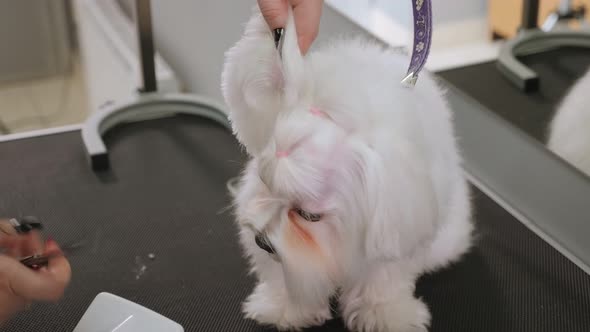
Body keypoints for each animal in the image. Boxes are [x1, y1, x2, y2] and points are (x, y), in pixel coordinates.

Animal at [222, 7, 476, 332]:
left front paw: (385, 314)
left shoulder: (393, 231)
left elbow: (383, 279)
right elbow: (287, 275)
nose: (261, 242)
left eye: (308, 215)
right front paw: (283, 307)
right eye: (265, 184)